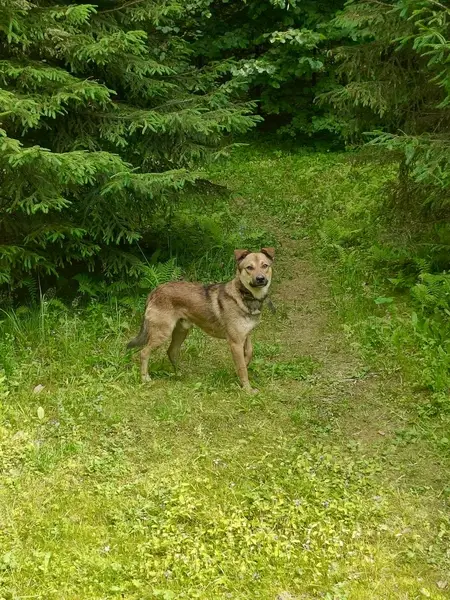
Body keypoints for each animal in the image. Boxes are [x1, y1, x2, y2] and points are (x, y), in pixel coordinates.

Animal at [127, 247, 275, 393]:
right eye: (249, 267)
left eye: (265, 266)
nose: (260, 279)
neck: (245, 296)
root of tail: (155, 291)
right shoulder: (235, 342)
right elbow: (242, 369)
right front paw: (247, 389)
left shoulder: (246, 335)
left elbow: (249, 353)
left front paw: (240, 369)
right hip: (162, 333)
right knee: (144, 352)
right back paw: (145, 378)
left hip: (181, 331)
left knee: (171, 351)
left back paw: (179, 375)